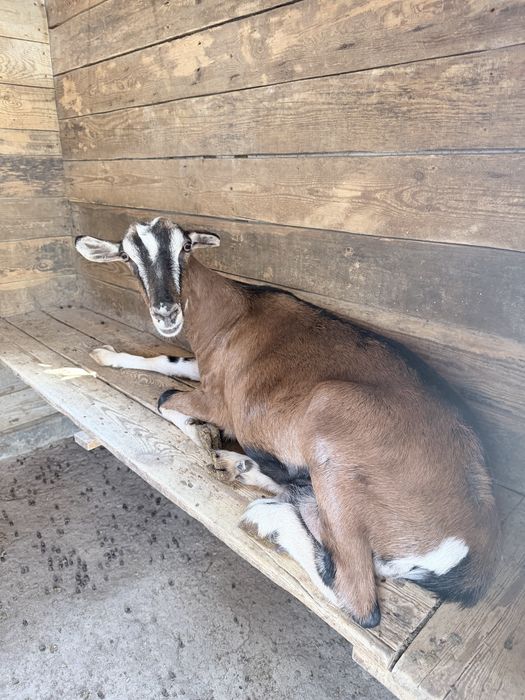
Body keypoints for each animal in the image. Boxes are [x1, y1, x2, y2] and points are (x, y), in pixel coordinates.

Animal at [76, 217, 500, 628]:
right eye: (127, 256)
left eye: (186, 246)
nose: (166, 312)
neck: (231, 314)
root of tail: (475, 541)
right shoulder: (207, 371)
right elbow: (168, 361)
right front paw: (105, 355)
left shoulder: (223, 401)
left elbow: (165, 398)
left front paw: (204, 433)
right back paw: (242, 468)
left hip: (331, 422)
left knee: (358, 598)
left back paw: (265, 513)